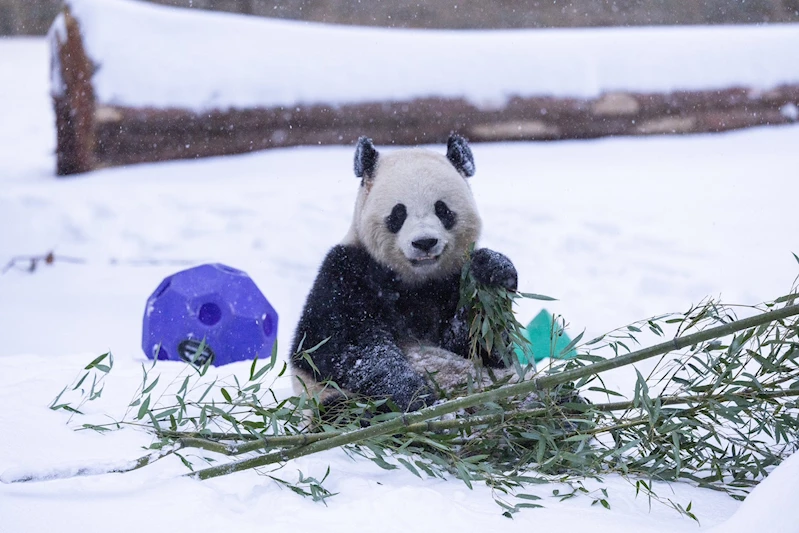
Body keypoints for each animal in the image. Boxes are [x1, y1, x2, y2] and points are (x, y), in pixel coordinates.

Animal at [292, 133, 520, 412]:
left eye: (443, 210)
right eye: (398, 213)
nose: (424, 242)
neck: (417, 280)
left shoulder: (453, 279)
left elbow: (482, 345)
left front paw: (492, 269)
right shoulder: (347, 273)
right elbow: (343, 347)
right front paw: (415, 395)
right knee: (343, 410)